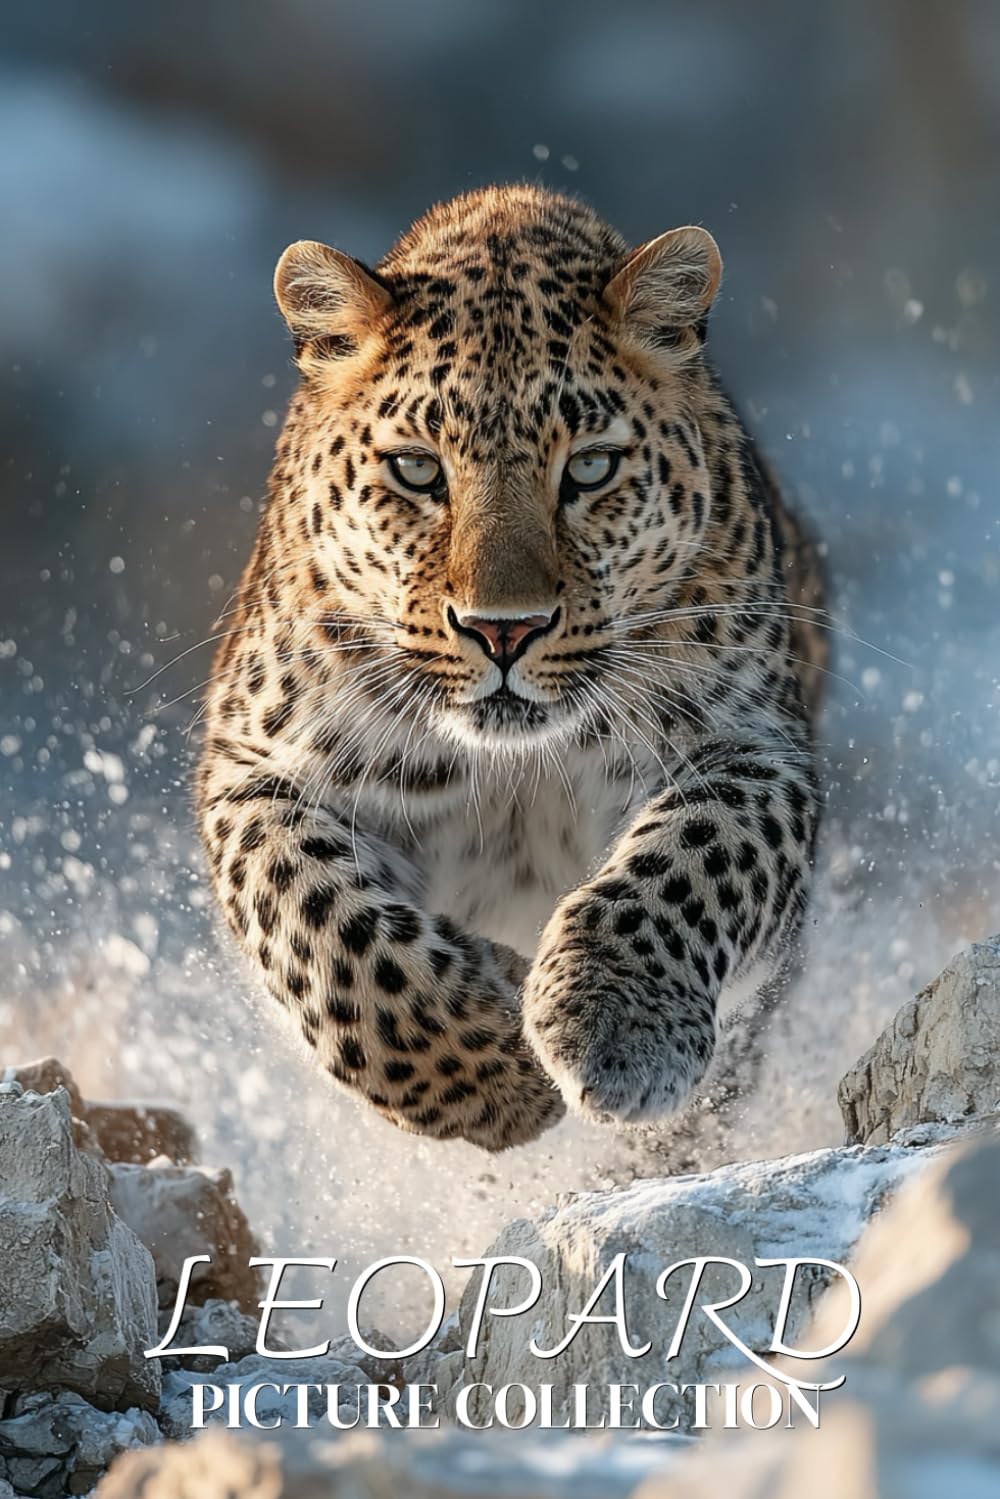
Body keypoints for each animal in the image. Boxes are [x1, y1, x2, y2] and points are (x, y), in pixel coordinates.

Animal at [195, 184, 827, 1153]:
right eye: (418, 470)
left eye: (592, 467)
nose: (504, 630)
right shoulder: (254, 767)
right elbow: (314, 917)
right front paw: (496, 1074)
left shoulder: (755, 745)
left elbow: (692, 858)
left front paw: (617, 1024)